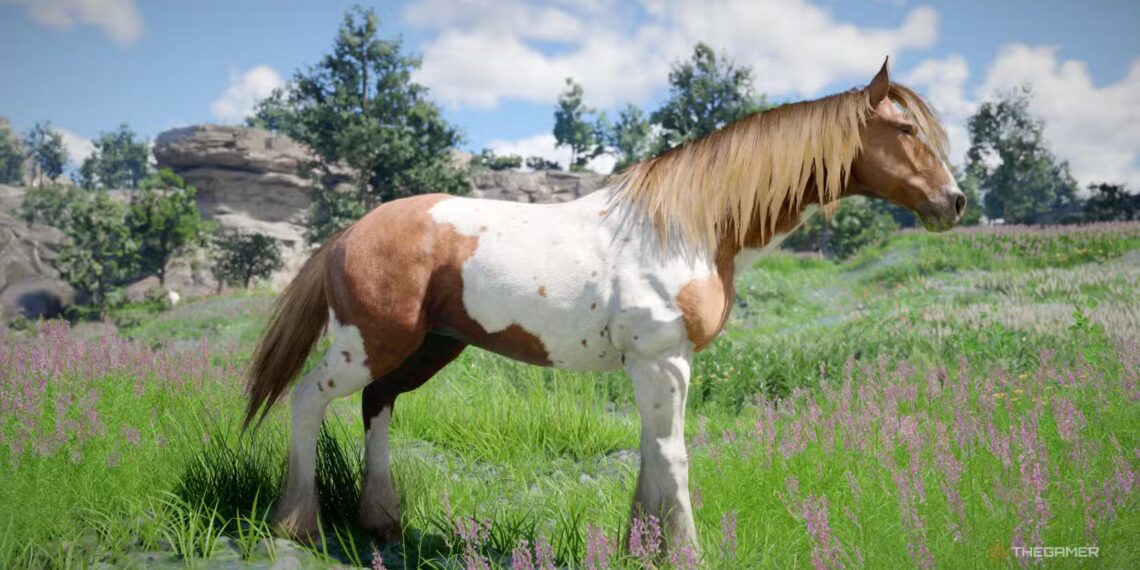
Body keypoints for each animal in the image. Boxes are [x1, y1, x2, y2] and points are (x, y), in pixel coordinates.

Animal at [243, 58, 965, 554]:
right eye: (905, 128)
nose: (953, 202)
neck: (689, 226)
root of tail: (348, 233)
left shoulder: (661, 366)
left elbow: (652, 453)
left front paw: (640, 546)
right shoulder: (663, 360)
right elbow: (673, 457)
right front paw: (685, 552)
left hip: (429, 347)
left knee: (377, 406)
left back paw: (383, 524)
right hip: (366, 344)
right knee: (307, 400)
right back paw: (296, 526)